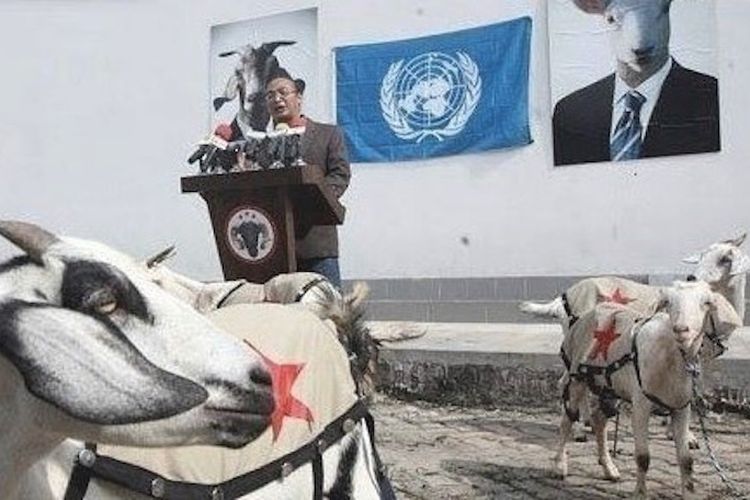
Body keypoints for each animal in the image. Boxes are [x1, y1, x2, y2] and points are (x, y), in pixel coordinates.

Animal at [556, 280, 744, 498]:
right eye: (668, 302)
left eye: (706, 303)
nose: (681, 329)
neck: (669, 357)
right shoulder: (641, 405)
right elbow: (643, 457)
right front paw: (640, 493)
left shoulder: (681, 408)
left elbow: (686, 459)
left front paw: (688, 493)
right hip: (577, 376)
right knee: (567, 419)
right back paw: (560, 466)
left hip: (610, 387)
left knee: (599, 420)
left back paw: (609, 469)